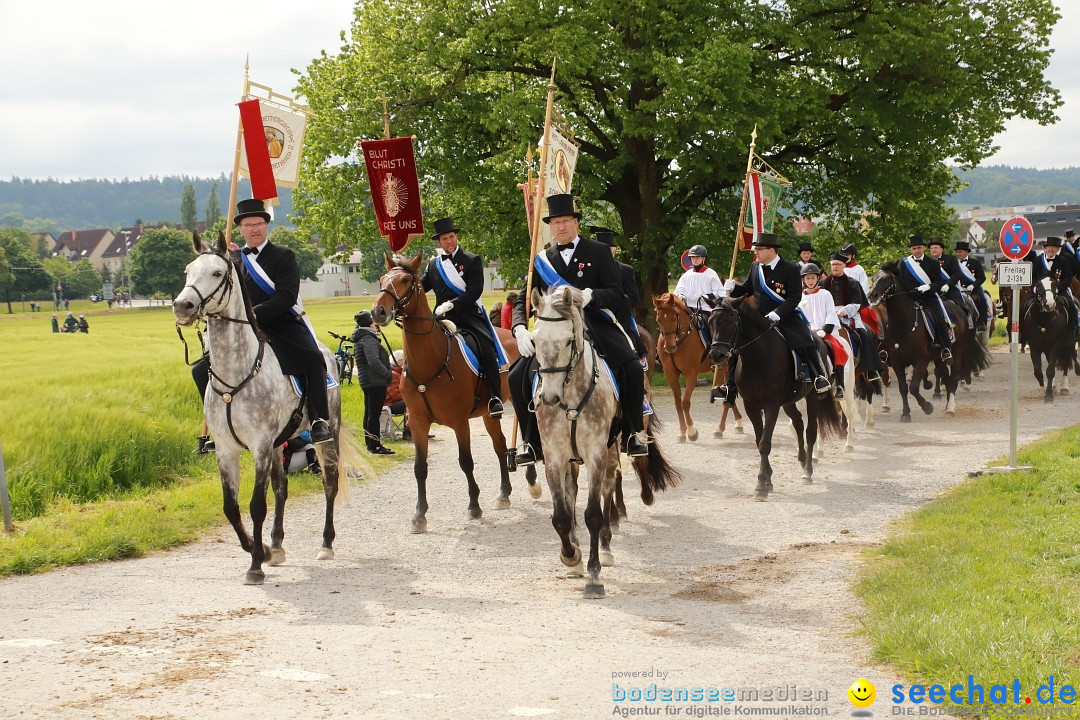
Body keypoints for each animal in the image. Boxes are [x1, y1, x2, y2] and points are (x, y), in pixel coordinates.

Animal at [172, 234, 349, 587]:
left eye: (216, 273)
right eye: (187, 271)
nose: (182, 306)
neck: (236, 372)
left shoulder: (260, 446)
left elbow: (255, 505)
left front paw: (256, 564)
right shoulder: (226, 449)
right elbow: (231, 507)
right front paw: (263, 550)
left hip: (328, 433)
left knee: (330, 482)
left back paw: (326, 544)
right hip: (282, 443)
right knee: (281, 489)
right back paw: (277, 546)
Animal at [648, 291, 743, 440]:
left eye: (674, 318)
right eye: (659, 320)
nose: (669, 347)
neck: (680, 341)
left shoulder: (691, 374)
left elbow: (685, 402)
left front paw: (692, 431)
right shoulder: (670, 373)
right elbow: (677, 403)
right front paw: (682, 432)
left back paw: (721, 428)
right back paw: (736, 422)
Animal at [708, 297, 842, 500]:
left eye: (731, 322)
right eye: (710, 322)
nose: (716, 355)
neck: (756, 358)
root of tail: (818, 338)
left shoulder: (771, 405)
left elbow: (765, 443)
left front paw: (761, 485)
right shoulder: (751, 405)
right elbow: (759, 440)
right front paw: (768, 479)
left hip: (811, 397)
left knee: (810, 430)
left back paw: (808, 470)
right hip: (789, 401)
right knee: (798, 422)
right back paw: (802, 459)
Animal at [868, 263, 989, 423]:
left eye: (887, 279)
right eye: (873, 278)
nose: (872, 296)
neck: (903, 324)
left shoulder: (921, 360)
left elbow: (913, 387)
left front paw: (927, 407)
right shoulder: (897, 362)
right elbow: (903, 388)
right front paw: (905, 413)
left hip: (957, 351)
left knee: (954, 378)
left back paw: (950, 408)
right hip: (939, 356)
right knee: (945, 376)